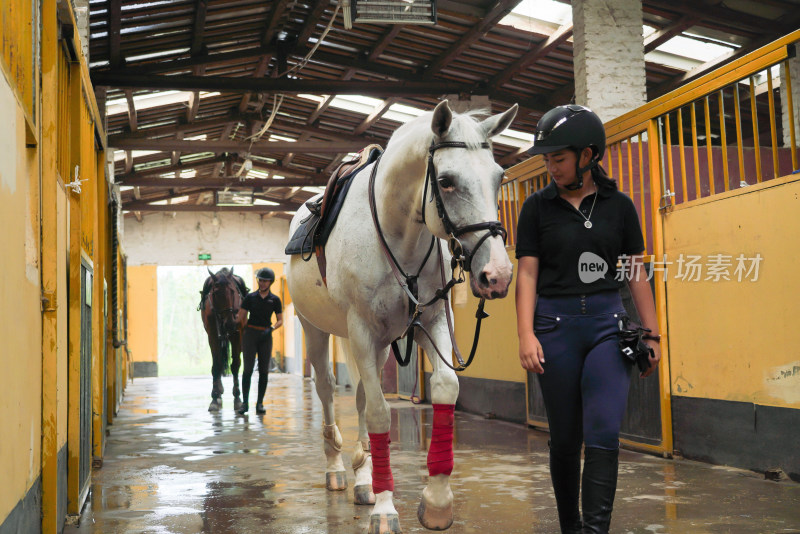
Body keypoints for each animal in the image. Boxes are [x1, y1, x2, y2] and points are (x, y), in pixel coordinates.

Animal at [200, 268, 247, 414]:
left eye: (232, 291)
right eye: (215, 293)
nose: (230, 324)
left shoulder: (237, 334)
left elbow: (235, 365)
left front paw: (238, 398)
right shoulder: (213, 336)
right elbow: (216, 365)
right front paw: (215, 398)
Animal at [288, 101, 520, 534]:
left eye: (499, 177)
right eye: (445, 181)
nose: (496, 274)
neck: (399, 236)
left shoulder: (432, 322)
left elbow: (443, 387)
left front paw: (437, 502)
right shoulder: (362, 332)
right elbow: (380, 412)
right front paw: (385, 508)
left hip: (376, 344)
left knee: (361, 396)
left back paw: (363, 479)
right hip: (317, 330)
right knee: (327, 389)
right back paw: (336, 469)